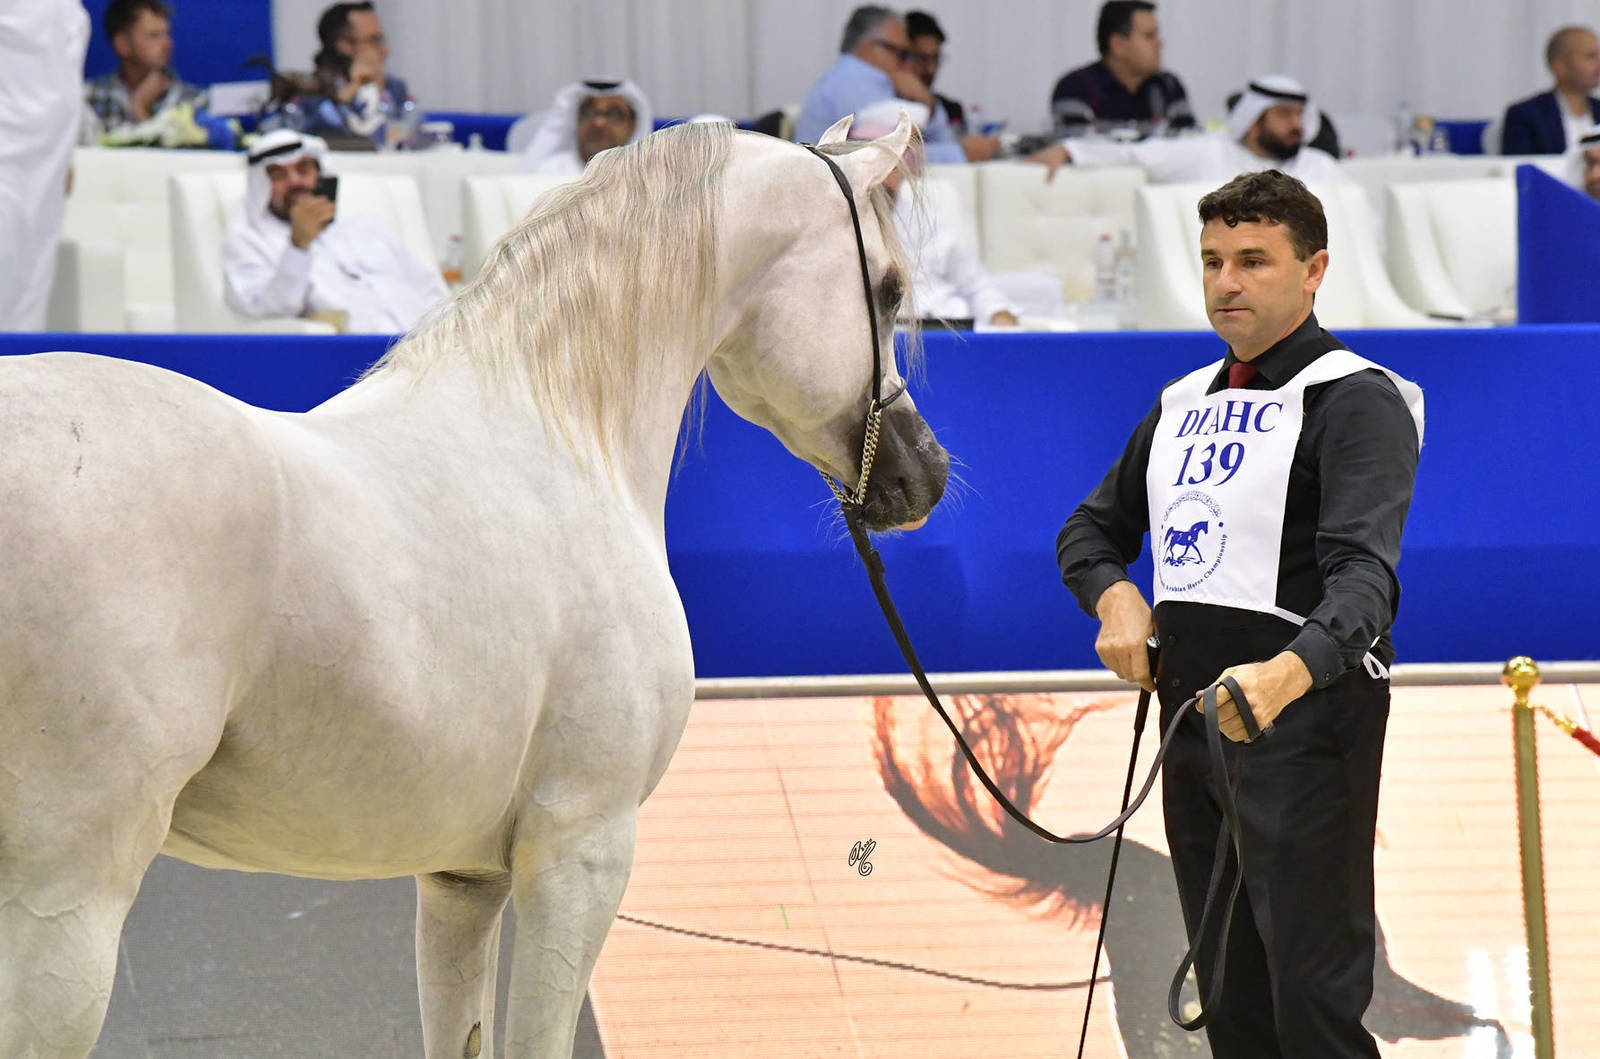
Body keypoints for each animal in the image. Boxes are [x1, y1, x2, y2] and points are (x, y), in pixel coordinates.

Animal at [0, 113, 947, 1059]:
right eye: (889, 289)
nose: (924, 473)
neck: (565, 434)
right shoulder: (580, 852)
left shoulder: (461, 878)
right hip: (65, 910)